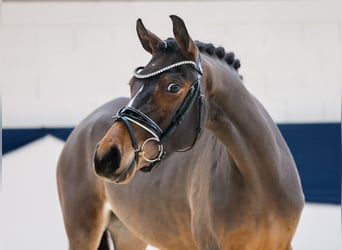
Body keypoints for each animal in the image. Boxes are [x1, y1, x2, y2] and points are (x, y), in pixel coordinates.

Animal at [56, 15, 304, 250]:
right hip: (83, 232)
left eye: (173, 87)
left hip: (129, 234)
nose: (107, 156)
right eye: (132, 83)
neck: (260, 180)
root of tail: (82, 128)